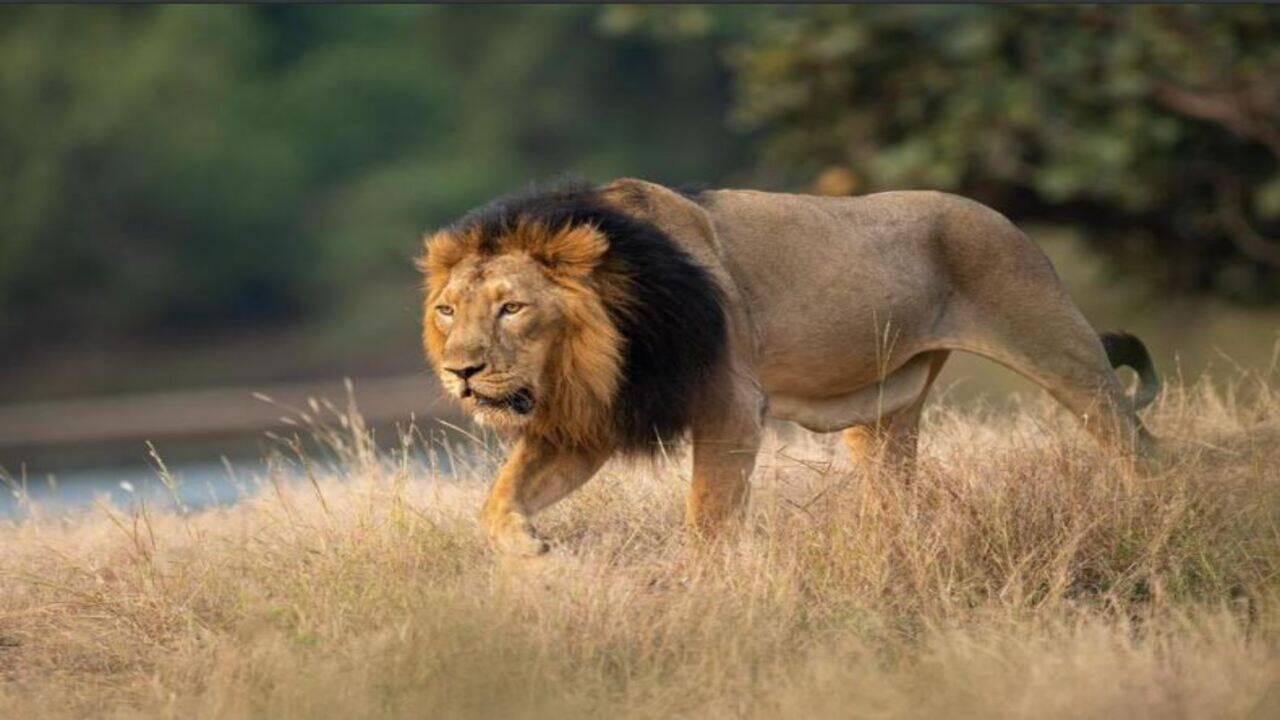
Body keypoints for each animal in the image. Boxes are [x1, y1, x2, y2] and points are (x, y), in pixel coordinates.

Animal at [419, 179, 1160, 556]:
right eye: (448, 311)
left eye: (512, 307)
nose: (461, 372)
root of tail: (1000, 215)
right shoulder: (589, 425)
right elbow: (497, 501)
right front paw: (529, 553)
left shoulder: (730, 408)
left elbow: (709, 519)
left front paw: (706, 590)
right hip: (885, 414)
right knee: (898, 496)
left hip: (1059, 346)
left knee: (1139, 445)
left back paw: (1154, 515)